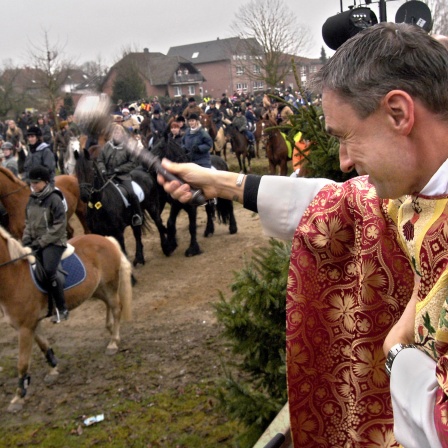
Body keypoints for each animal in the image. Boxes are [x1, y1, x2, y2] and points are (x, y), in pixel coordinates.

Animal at [0, 228, 133, 412]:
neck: (15, 277)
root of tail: (105, 239)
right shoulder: (32, 324)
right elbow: (44, 346)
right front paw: (53, 369)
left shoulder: (25, 328)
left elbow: (22, 363)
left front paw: (18, 398)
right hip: (96, 288)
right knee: (108, 304)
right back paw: (110, 327)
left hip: (109, 284)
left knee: (116, 308)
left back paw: (113, 342)